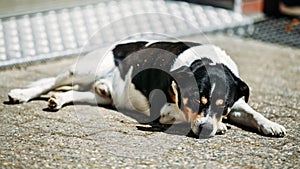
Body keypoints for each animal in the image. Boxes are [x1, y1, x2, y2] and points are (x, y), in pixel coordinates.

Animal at [8, 40, 288, 138]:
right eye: (195, 100)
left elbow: (252, 113)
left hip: (101, 96)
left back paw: (58, 100)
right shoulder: (165, 110)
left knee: (78, 93)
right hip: (82, 69)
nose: (206, 128)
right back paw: (21, 94)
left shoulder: (236, 102)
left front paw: (272, 125)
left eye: (223, 106)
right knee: (50, 81)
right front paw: (218, 126)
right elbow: (183, 114)